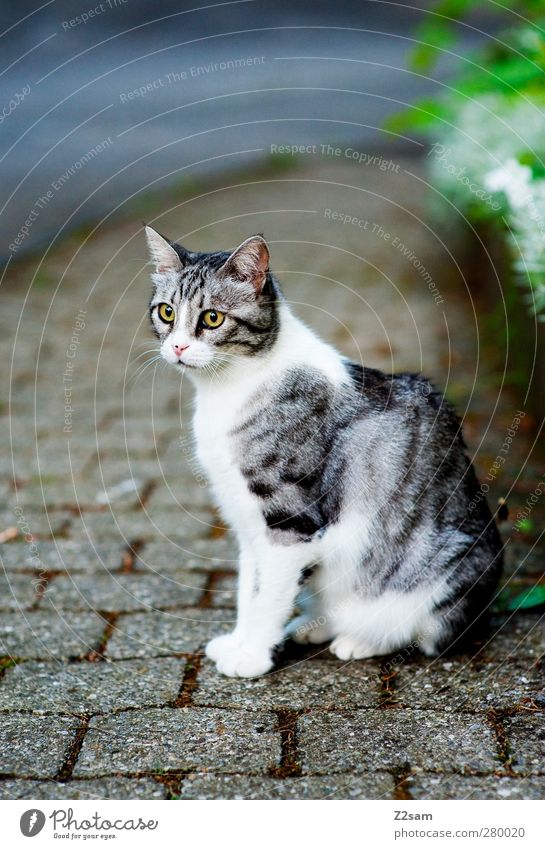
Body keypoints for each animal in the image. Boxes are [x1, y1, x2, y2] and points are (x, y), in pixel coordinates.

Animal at [143, 224, 502, 676]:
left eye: (212, 318)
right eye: (166, 313)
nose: (177, 348)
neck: (227, 389)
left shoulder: (290, 521)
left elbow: (268, 596)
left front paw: (252, 656)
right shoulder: (247, 520)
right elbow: (249, 589)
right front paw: (240, 641)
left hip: (445, 570)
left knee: (423, 632)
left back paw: (360, 640)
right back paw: (312, 626)